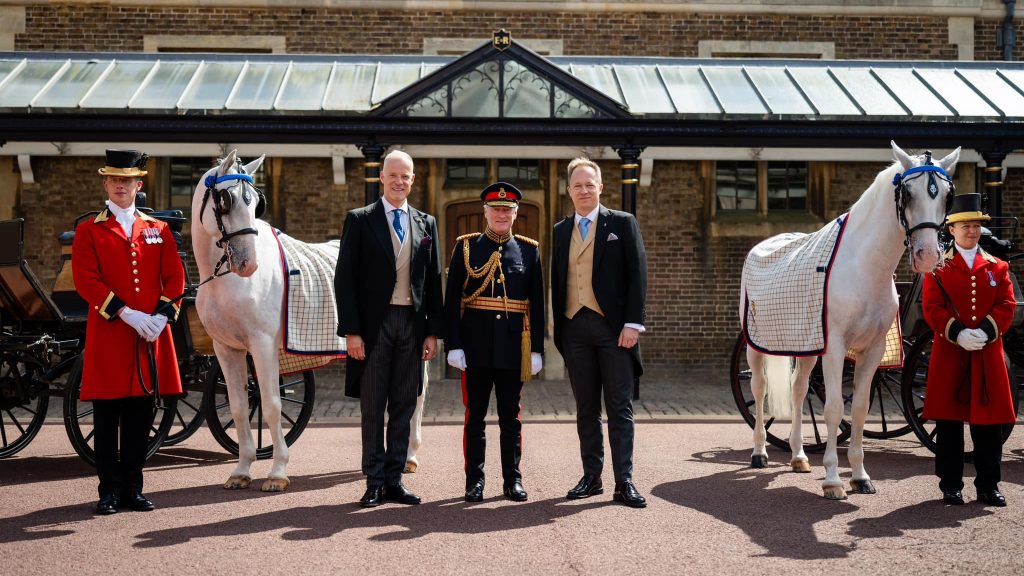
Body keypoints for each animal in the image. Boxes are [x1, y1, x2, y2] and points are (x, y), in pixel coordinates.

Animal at [192, 151, 428, 487]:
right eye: (227, 199)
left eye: (255, 202)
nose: (248, 263)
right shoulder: (226, 349)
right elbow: (238, 408)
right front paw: (242, 469)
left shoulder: (263, 345)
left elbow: (272, 404)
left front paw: (278, 472)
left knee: (416, 397)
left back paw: (409, 456)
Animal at [741, 140, 954, 498]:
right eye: (907, 193)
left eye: (947, 195)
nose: (928, 255)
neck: (863, 267)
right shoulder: (836, 348)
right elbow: (833, 409)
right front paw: (832, 480)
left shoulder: (872, 350)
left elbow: (859, 409)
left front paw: (860, 476)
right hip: (756, 345)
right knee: (759, 388)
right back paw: (759, 452)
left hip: (806, 346)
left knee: (798, 389)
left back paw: (799, 456)